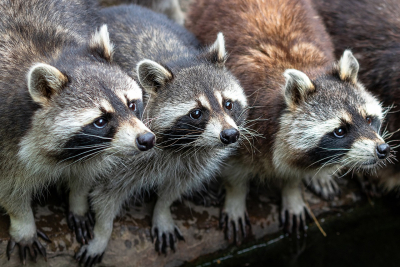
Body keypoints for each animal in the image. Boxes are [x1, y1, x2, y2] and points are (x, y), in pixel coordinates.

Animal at [0, 0, 155, 264]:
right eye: (101, 121)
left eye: (132, 105)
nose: (146, 139)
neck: (50, 53)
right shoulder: (5, 133)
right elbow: (9, 187)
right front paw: (23, 224)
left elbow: (85, 172)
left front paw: (78, 200)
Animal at [72, 5, 247, 264]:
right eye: (197, 113)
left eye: (228, 104)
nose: (230, 135)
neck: (184, 146)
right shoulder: (118, 155)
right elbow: (106, 195)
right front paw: (102, 233)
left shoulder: (194, 160)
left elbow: (175, 188)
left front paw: (162, 210)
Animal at [187, 0, 390, 243]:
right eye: (340, 131)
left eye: (369, 119)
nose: (382, 149)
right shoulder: (236, 124)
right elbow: (233, 168)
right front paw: (235, 196)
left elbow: (294, 171)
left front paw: (293, 190)